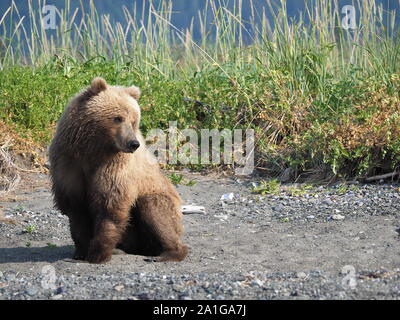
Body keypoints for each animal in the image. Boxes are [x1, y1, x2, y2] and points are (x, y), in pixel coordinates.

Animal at [48, 77, 189, 262]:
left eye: (134, 121)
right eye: (118, 118)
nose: (133, 143)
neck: (93, 150)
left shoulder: (116, 165)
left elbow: (111, 203)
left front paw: (98, 253)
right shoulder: (68, 162)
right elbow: (76, 208)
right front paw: (81, 251)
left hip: (164, 203)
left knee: (155, 210)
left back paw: (167, 253)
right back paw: (119, 250)